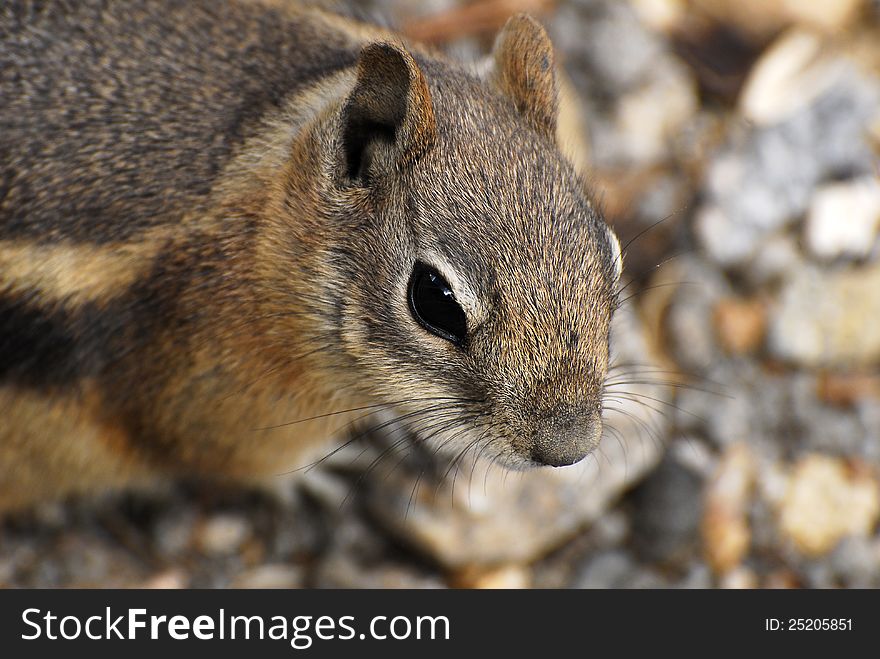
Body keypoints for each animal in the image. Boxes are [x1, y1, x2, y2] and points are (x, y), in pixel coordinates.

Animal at [0, 0, 624, 510]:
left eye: (611, 251)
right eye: (435, 301)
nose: (567, 448)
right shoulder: (208, 406)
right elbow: (238, 461)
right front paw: (325, 470)